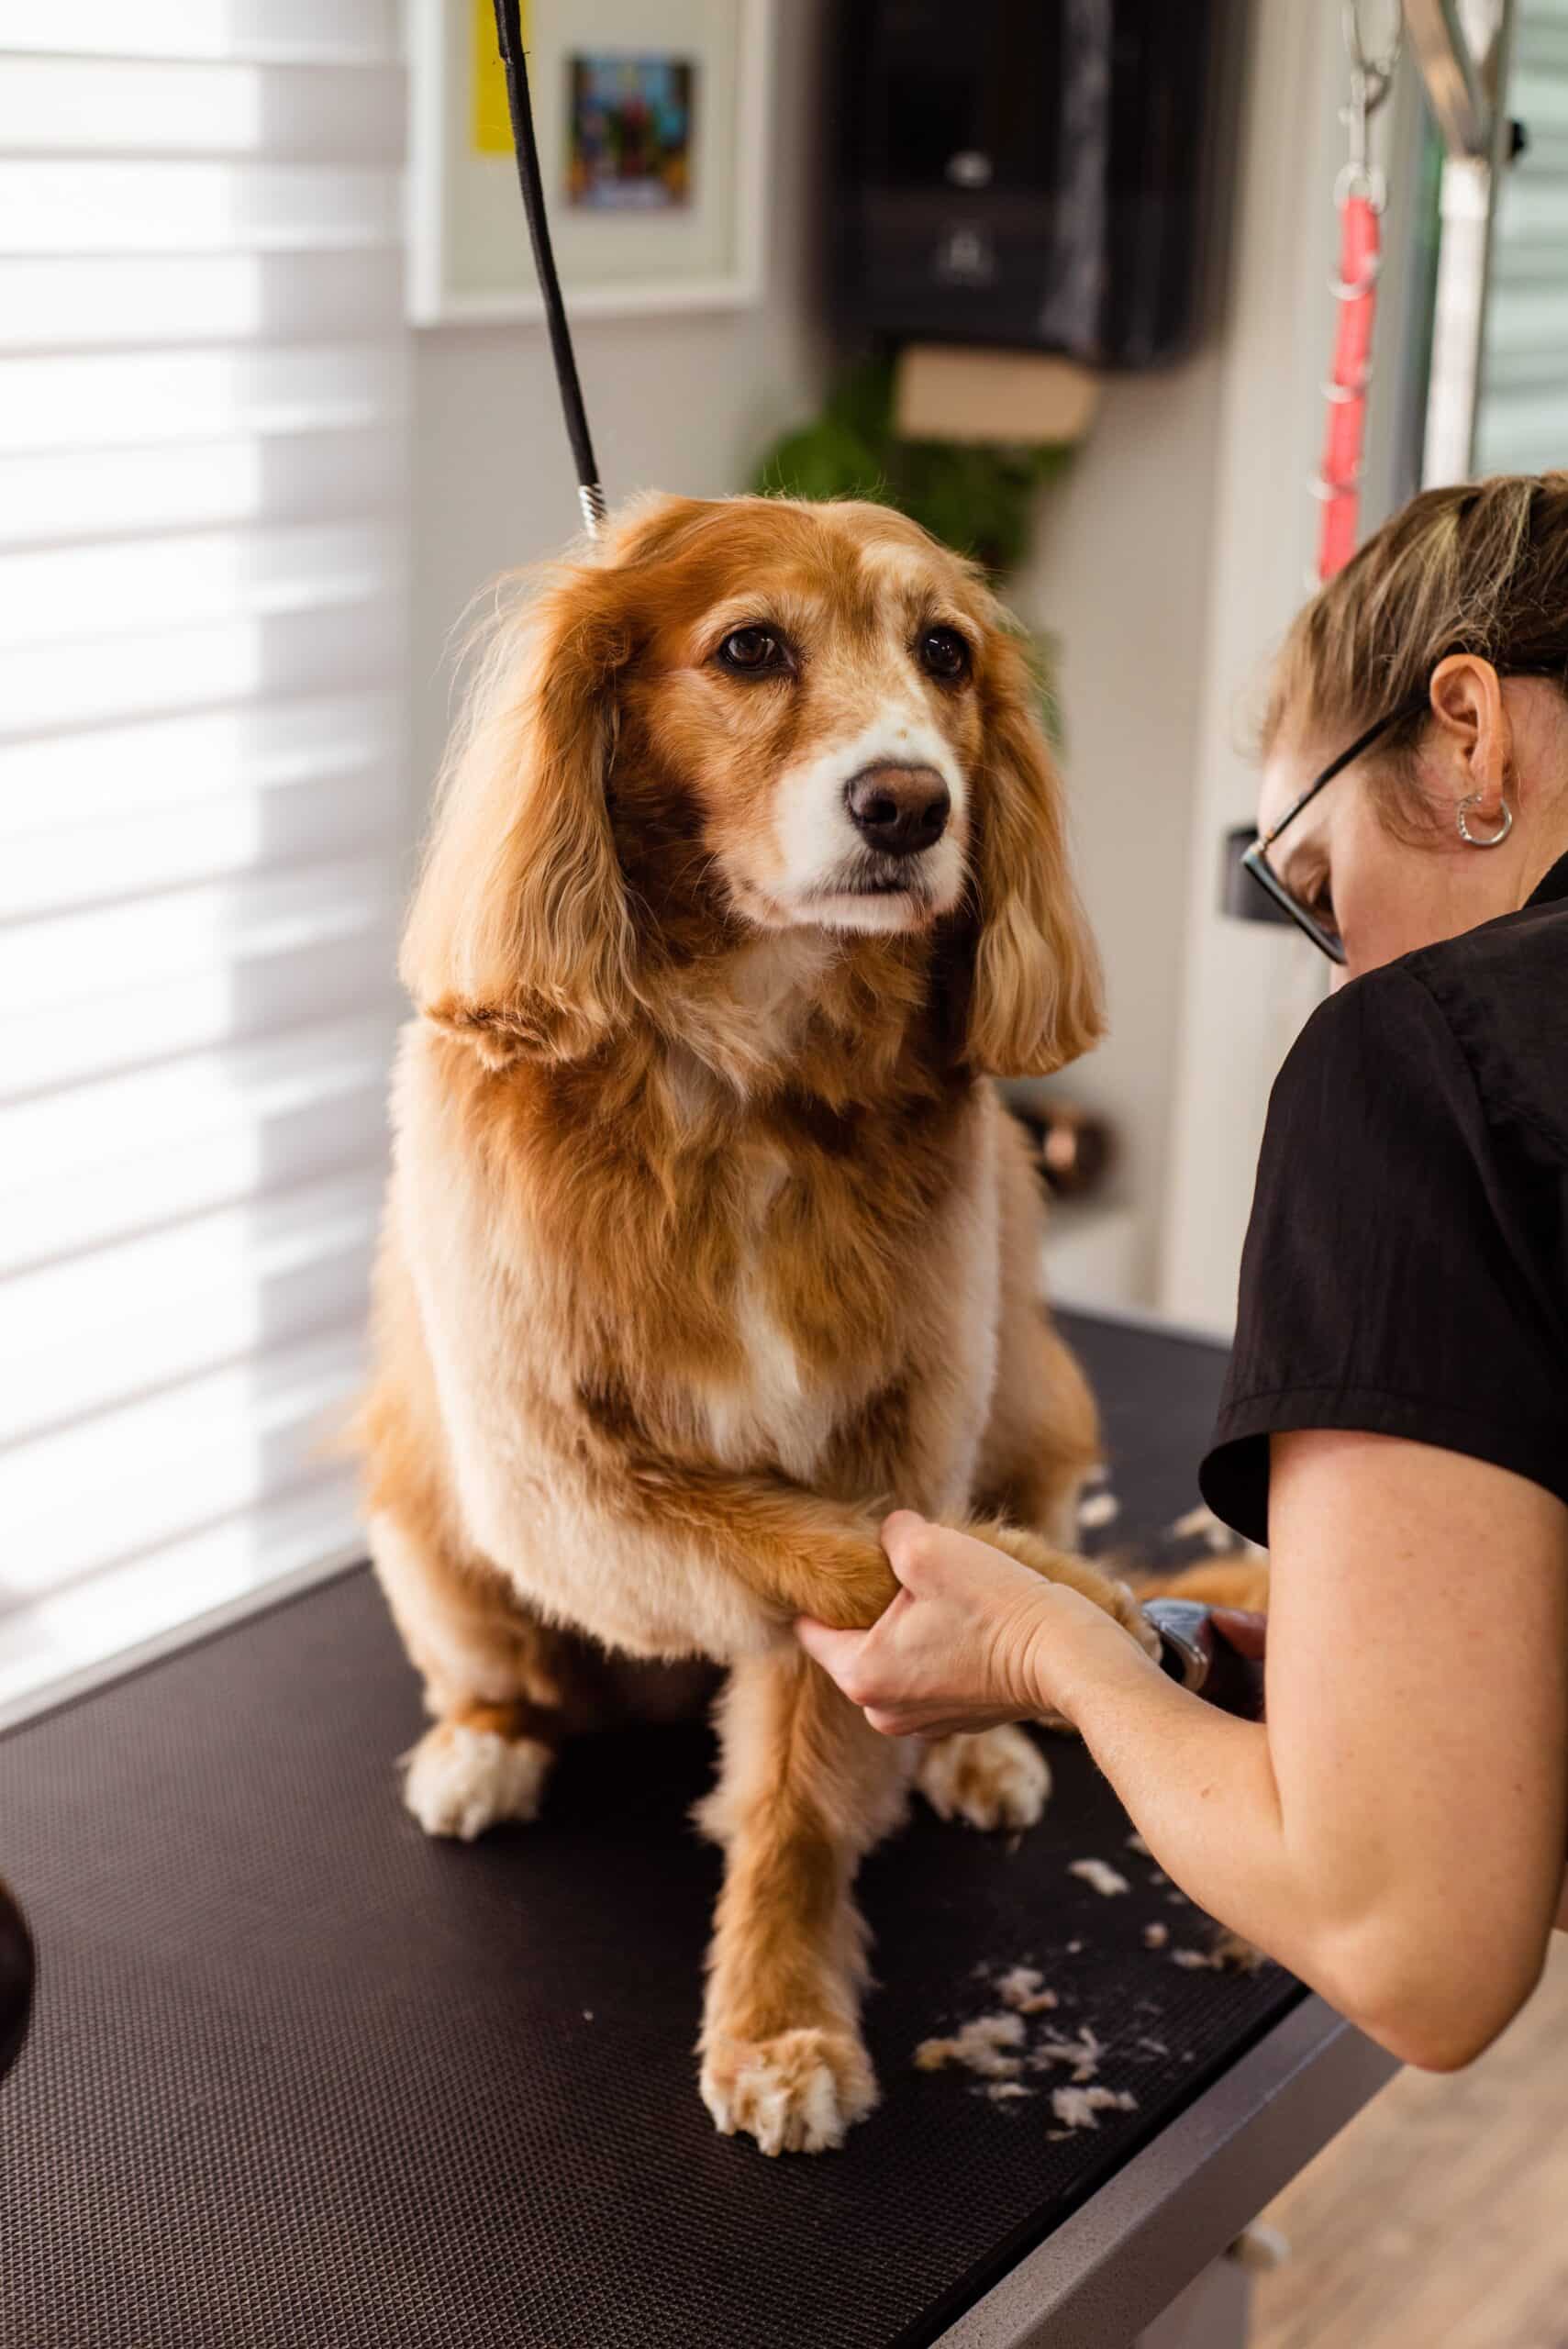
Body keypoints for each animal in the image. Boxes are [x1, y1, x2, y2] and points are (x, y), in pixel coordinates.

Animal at [354, 492, 1154, 2155]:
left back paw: (983, 1736)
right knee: (495, 1671)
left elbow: (801, 1770)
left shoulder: (900, 1426)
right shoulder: (562, 1479)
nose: (908, 803)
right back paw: (482, 1747)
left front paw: (778, 2017)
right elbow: (849, 1556)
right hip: (424, 1514)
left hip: (1039, 1405)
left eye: (944, 651)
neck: (744, 1086)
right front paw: (1061, 1602)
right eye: (748, 649)